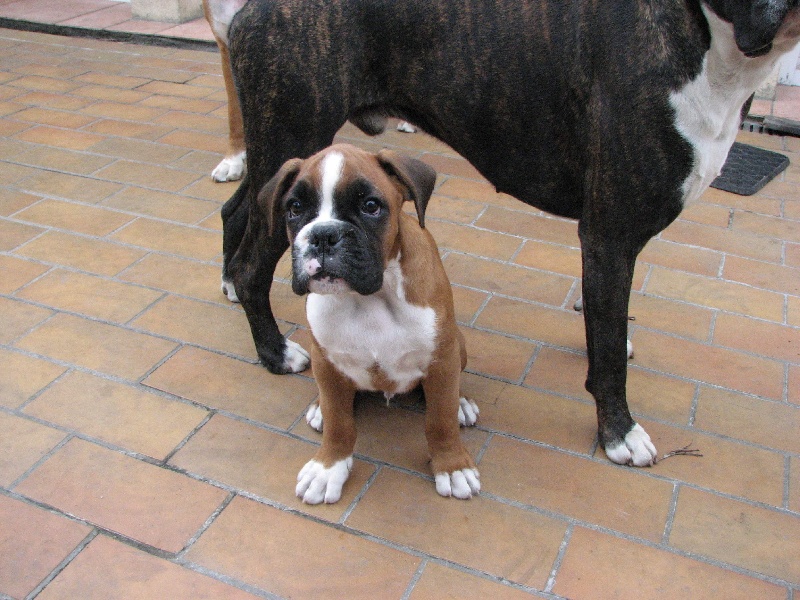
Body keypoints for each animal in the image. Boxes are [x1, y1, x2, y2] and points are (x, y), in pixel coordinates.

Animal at [258, 143, 480, 503]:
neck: (370, 298)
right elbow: (340, 423)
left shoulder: (442, 358)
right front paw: (328, 468)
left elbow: (440, 419)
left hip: (457, 345)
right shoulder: (326, 361)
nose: (324, 235)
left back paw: (461, 403)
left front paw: (452, 465)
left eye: (371, 206)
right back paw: (319, 407)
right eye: (295, 207)